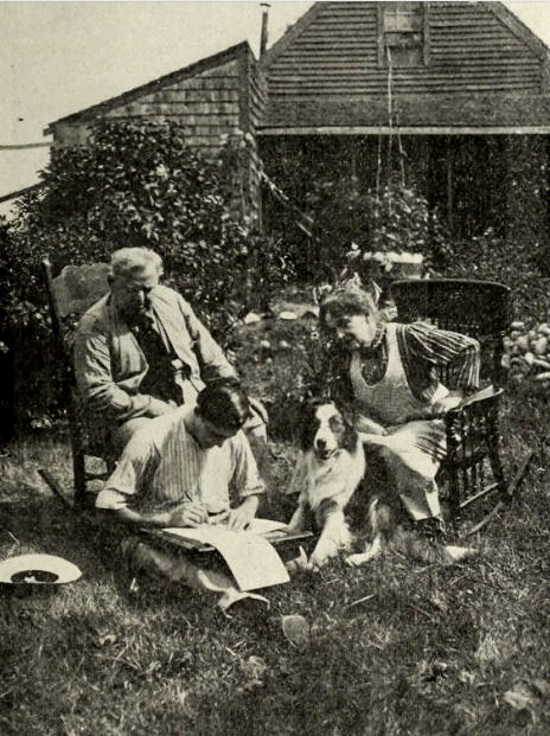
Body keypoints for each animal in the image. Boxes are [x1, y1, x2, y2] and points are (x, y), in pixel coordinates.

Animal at [286, 399, 366, 570]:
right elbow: (292, 527)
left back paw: (356, 558)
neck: (327, 467)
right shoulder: (305, 501)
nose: (321, 442)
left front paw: (314, 562)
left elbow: (325, 539)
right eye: (315, 425)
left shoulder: (336, 510)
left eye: (334, 425)